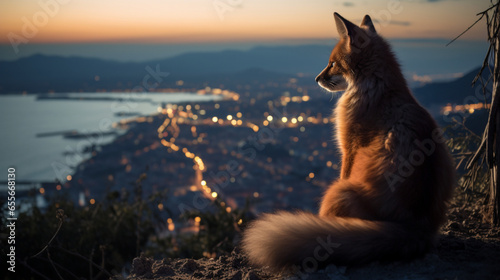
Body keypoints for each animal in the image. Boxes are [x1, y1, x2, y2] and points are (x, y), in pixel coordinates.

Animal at [242, 12, 458, 272]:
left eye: (332, 63)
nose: (316, 79)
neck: (378, 89)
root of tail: (418, 228)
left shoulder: (349, 149)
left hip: (337, 191)